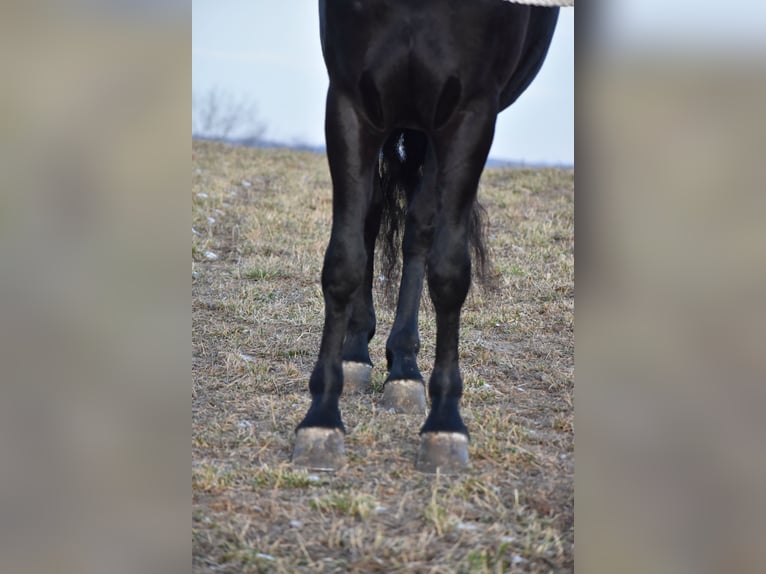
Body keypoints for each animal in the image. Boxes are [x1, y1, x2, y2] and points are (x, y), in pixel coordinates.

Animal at [294, 0, 560, 474]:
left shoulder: (469, 115)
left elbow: (448, 270)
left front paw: (445, 424)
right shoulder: (348, 103)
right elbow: (344, 261)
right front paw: (321, 417)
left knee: (419, 228)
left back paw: (404, 369)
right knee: (373, 217)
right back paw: (358, 352)